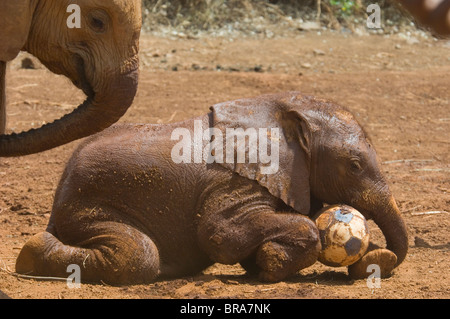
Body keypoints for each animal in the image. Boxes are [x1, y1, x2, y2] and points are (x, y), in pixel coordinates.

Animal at [15, 92, 408, 284]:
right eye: (354, 166)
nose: (374, 259)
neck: (285, 113)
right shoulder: (233, 181)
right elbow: (219, 233)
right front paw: (270, 267)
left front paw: (265, 264)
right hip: (89, 205)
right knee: (138, 256)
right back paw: (30, 255)